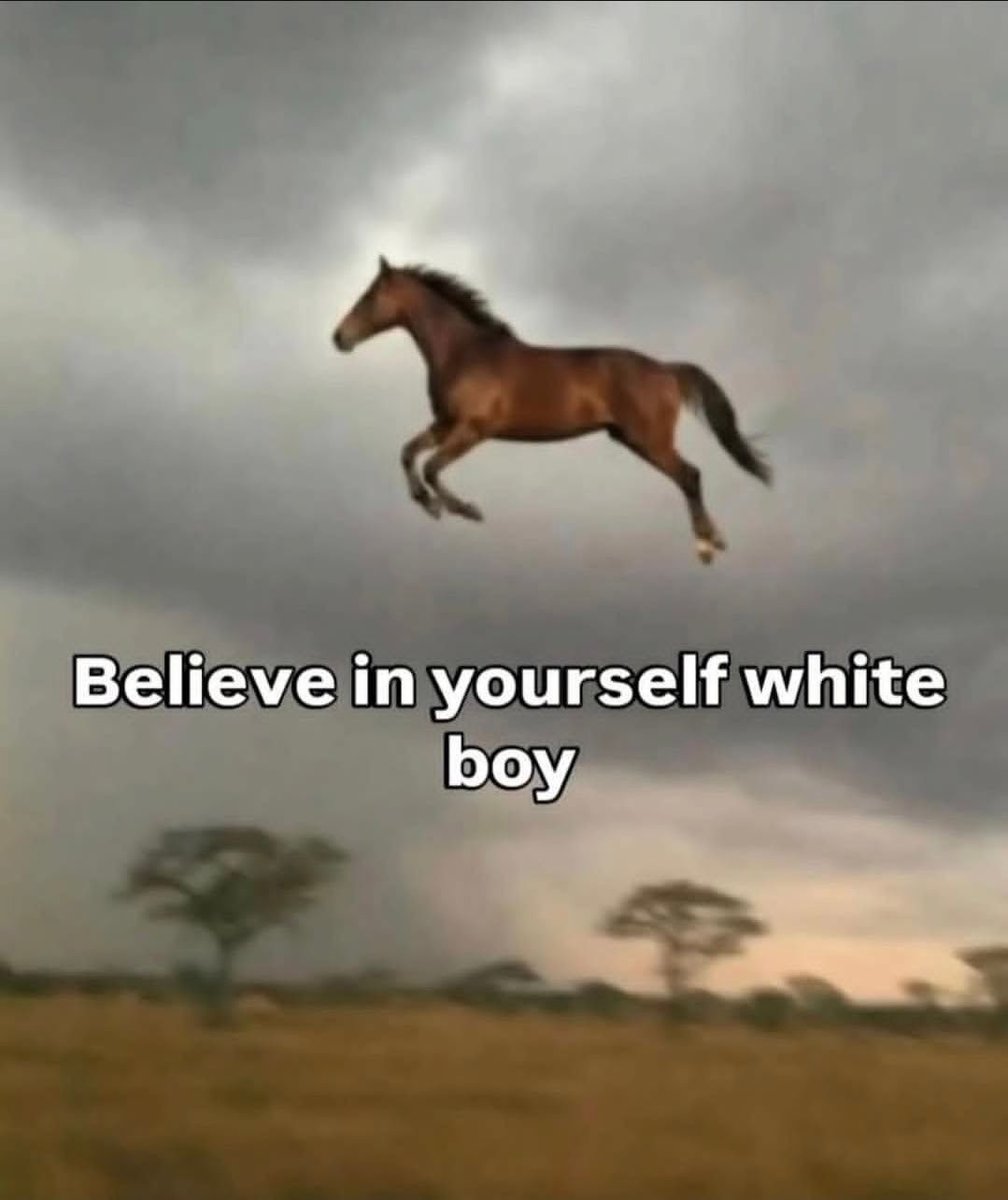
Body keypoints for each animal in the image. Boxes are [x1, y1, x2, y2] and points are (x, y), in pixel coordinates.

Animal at [332, 256, 772, 564]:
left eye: (368, 297)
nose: (339, 338)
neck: (465, 353)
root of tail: (667, 369)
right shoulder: (445, 424)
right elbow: (408, 453)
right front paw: (428, 504)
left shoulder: (473, 430)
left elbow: (432, 467)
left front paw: (464, 509)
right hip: (632, 439)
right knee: (688, 477)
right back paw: (713, 540)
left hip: (649, 440)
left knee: (690, 475)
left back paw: (707, 545)